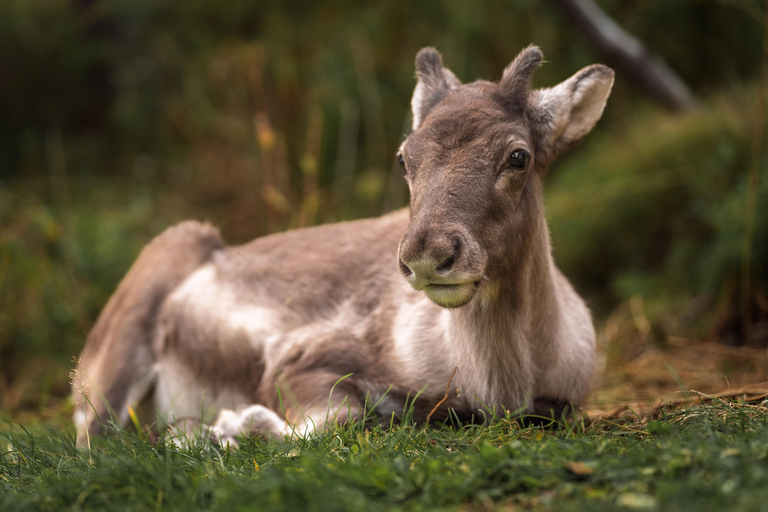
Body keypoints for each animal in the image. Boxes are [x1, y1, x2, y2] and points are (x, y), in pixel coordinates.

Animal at [71, 46, 614, 446]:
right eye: (404, 156)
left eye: (518, 155)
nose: (427, 256)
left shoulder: (561, 401)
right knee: (91, 438)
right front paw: (224, 426)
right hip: (120, 345)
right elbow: (337, 419)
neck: (500, 384)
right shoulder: (300, 355)